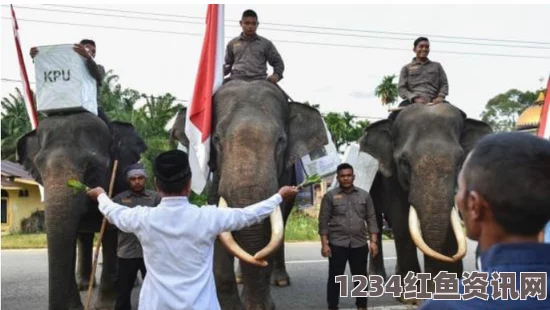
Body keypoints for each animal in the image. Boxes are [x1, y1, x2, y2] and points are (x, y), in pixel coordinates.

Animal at [17, 112, 148, 310]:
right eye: (39, 167)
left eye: (91, 167)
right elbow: (70, 238)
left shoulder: (116, 185)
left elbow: (110, 232)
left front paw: (105, 306)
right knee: (83, 237)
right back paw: (84, 285)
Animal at [360, 103, 494, 304]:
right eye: (404, 162)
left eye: (459, 162)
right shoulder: (391, 177)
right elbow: (401, 223)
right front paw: (411, 299)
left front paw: (443, 293)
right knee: (375, 220)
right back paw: (378, 279)